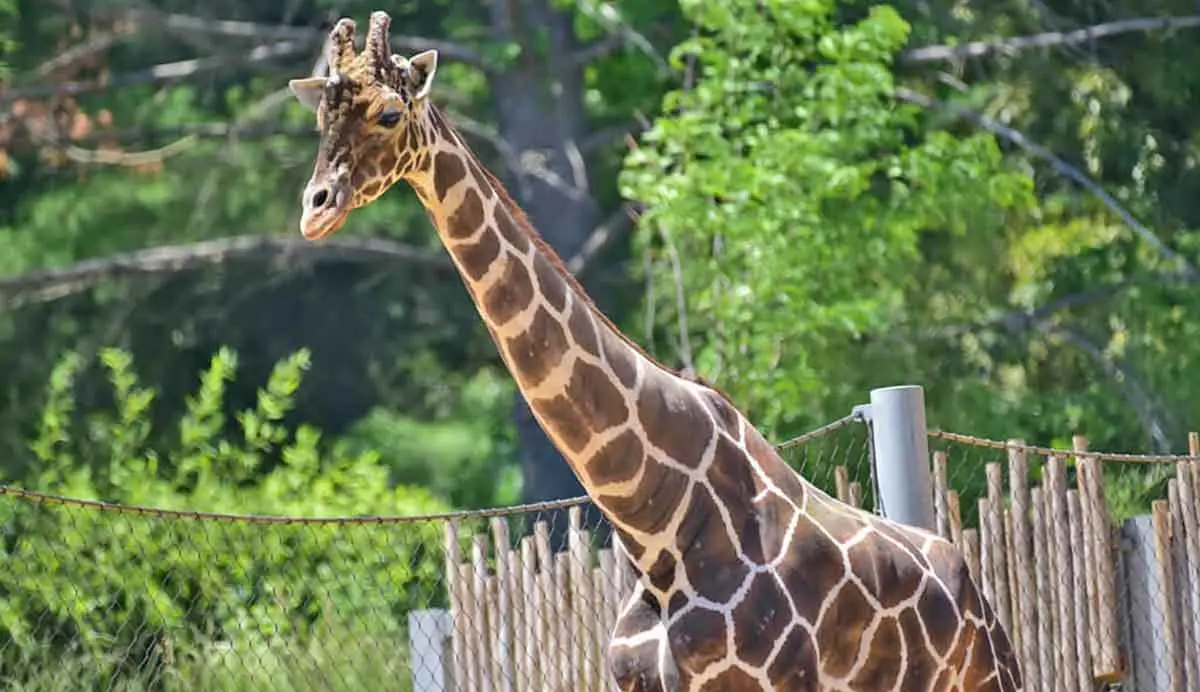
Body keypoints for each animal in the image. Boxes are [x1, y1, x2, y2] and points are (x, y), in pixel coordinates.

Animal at [288, 12, 1022, 690]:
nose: (315, 208)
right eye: (321, 113)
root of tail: (973, 589)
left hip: (992, 675)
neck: (654, 524)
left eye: (389, 112)